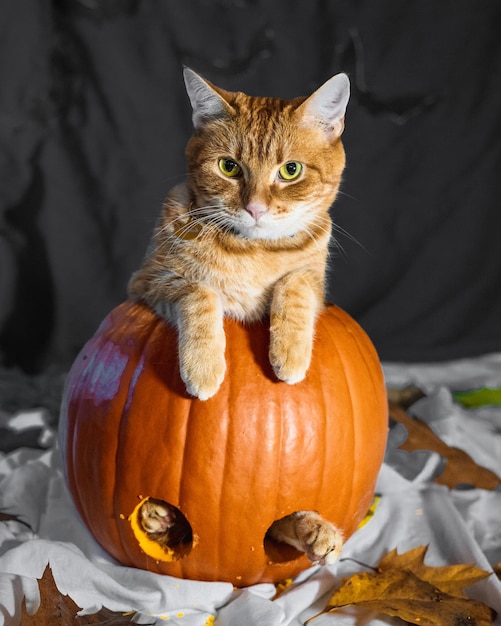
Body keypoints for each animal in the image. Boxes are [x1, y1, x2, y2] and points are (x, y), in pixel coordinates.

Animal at [129, 68, 348, 564]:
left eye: (290, 171)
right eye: (229, 167)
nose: (255, 208)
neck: (252, 251)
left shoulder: (315, 284)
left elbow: (294, 286)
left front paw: (289, 354)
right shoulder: (150, 282)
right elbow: (199, 292)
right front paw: (204, 367)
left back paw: (316, 531)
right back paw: (157, 514)